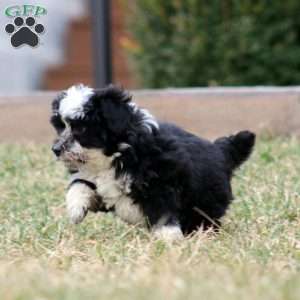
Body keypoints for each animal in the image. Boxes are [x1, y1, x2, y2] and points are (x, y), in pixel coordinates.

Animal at [49, 84, 255, 239]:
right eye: (60, 127)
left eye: (81, 129)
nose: (56, 149)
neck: (116, 155)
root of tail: (221, 151)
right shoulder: (95, 181)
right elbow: (79, 184)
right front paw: (76, 209)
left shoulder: (161, 182)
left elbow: (163, 212)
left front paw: (169, 238)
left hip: (206, 203)